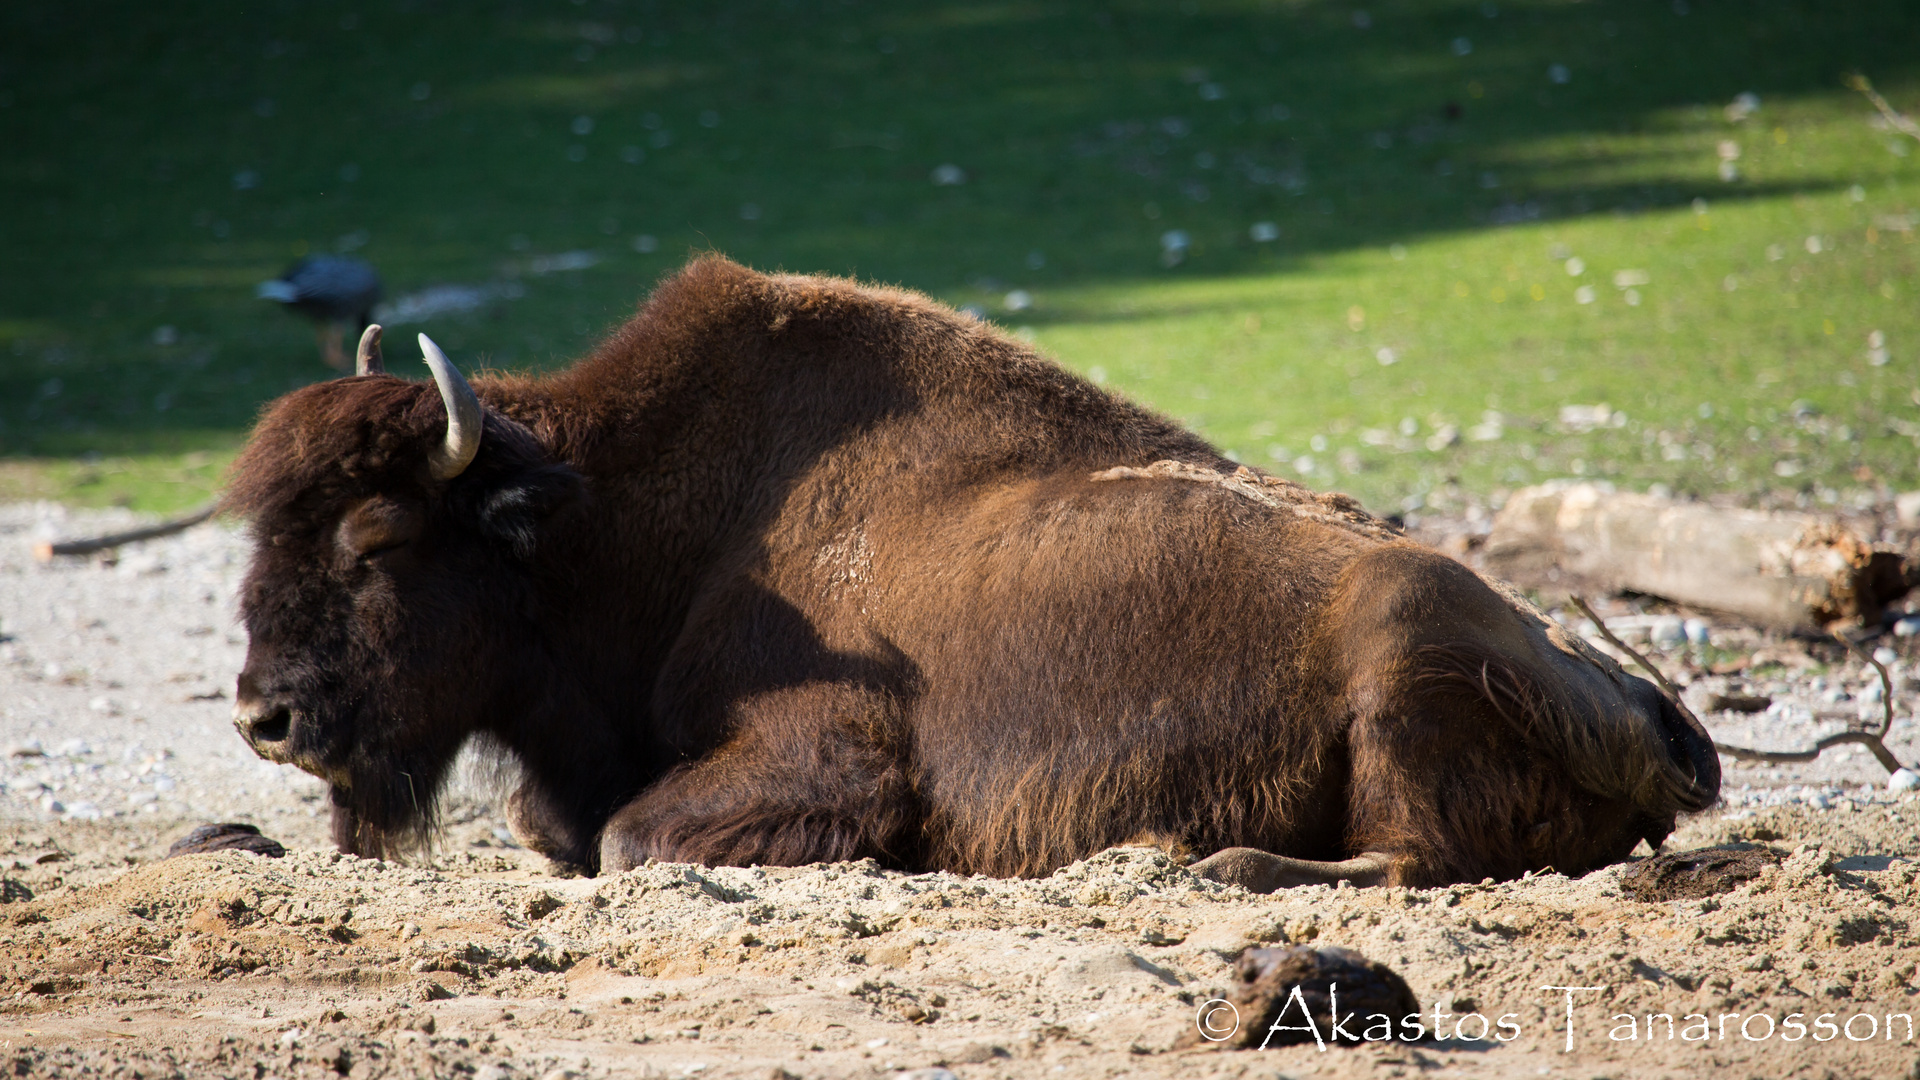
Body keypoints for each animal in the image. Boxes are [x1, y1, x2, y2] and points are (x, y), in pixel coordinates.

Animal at [228, 251, 1728, 883]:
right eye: (259, 529)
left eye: (376, 539)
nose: (263, 717)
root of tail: (1644, 707)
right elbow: (566, 832)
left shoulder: (823, 757)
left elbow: (626, 840)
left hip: (1403, 661)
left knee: (1412, 861)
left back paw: (1204, 865)